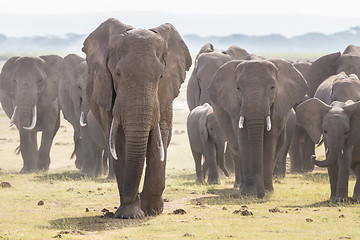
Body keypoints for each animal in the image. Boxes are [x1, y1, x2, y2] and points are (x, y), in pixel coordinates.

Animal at [82, 17, 193, 218]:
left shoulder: (164, 94)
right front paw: (130, 214)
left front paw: (151, 210)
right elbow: (118, 142)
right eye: (117, 74)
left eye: (161, 76)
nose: (134, 197)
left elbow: (159, 137)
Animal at [210, 58, 308, 197]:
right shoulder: (235, 106)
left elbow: (269, 141)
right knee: (236, 148)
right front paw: (249, 192)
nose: (260, 195)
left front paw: (267, 190)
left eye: (272, 87)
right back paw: (239, 186)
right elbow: (244, 140)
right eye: (238, 88)